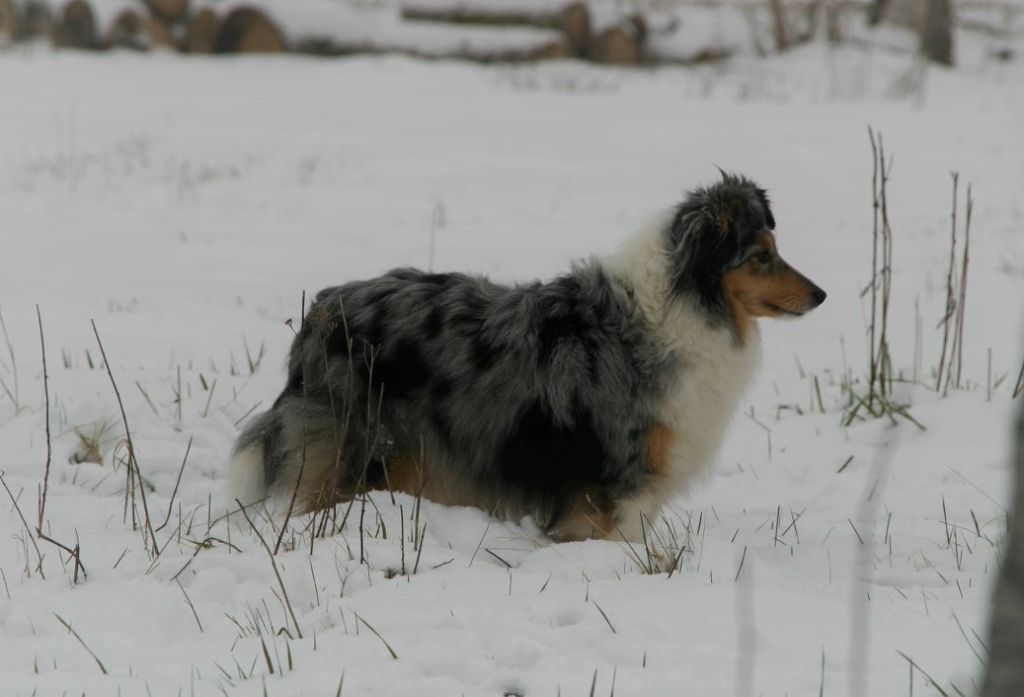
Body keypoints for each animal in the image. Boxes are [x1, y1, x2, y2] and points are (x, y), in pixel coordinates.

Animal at [230, 170, 823, 540]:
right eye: (762, 255)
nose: (821, 294)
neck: (682, 304)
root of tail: (322, 309)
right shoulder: (617, 485)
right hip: (351, 448)